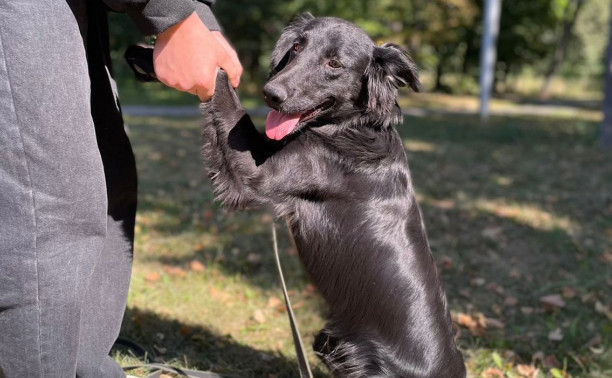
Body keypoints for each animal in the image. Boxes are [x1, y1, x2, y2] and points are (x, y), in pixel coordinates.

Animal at [201, 13, 464, 376]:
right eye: (297, 47)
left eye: (334, 64)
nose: (271, 94)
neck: (353, 127)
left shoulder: (256, 172)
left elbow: (231, 105)